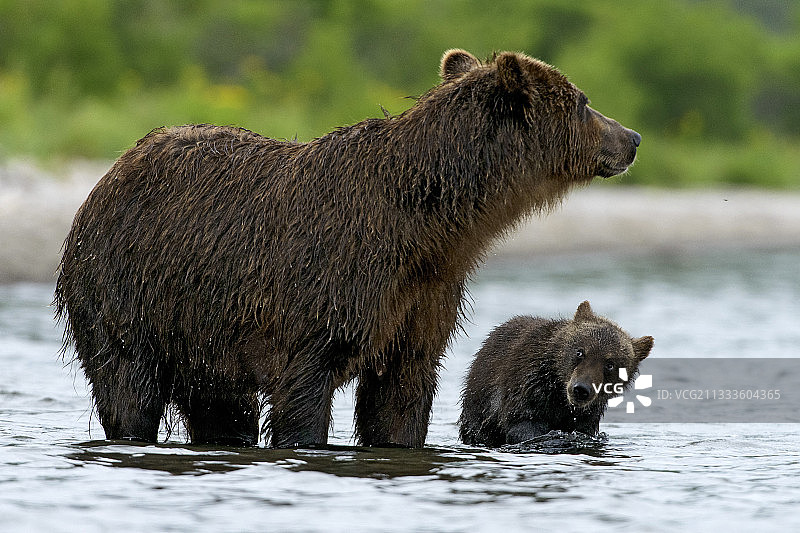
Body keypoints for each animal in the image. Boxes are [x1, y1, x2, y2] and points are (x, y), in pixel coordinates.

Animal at [459, 301, 653, 446]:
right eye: (580, 352)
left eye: (610, 364)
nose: (581, 389)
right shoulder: (526, 386)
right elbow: (523, 424)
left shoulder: (587, 415)